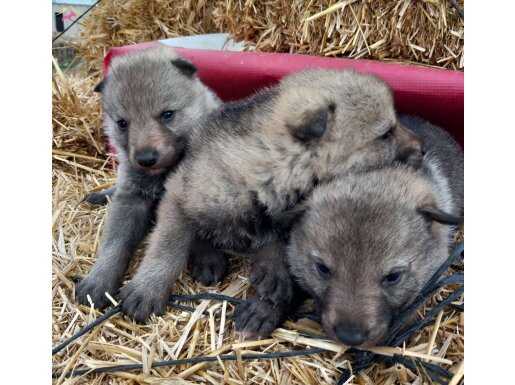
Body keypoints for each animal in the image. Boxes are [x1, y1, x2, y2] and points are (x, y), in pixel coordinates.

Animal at [75, 45, 226, 308]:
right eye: (122, 123)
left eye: (167, 114)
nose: (146, 158)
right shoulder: (130, 198)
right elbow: (114, 243)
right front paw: (99, 278)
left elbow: (166, 246)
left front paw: (146, 289)